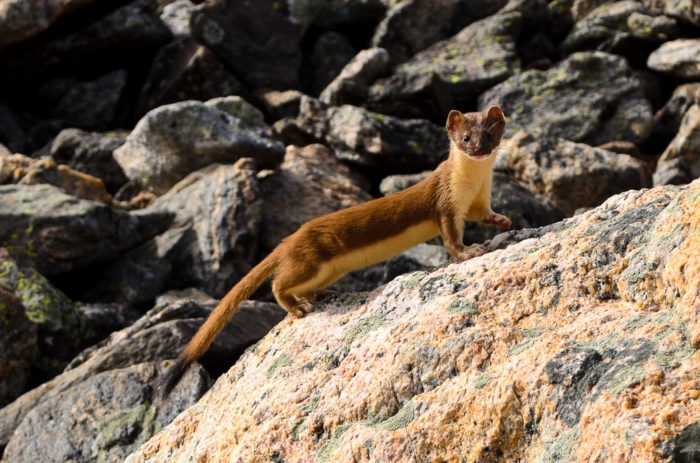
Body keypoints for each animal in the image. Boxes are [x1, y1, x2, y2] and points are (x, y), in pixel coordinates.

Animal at [157, 107, 508, 396]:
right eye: (465, 137)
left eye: (490, 134)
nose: (478, 149)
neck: (473, 184)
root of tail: (288, 241)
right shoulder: (445, 205)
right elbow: (451, 238)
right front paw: (469, 252)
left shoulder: (478, 201)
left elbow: (484, 216)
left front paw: (502, 221)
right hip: (310, 261)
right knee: (278, 283)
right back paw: (298, 308)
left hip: (328, 269)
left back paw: (321, 294)